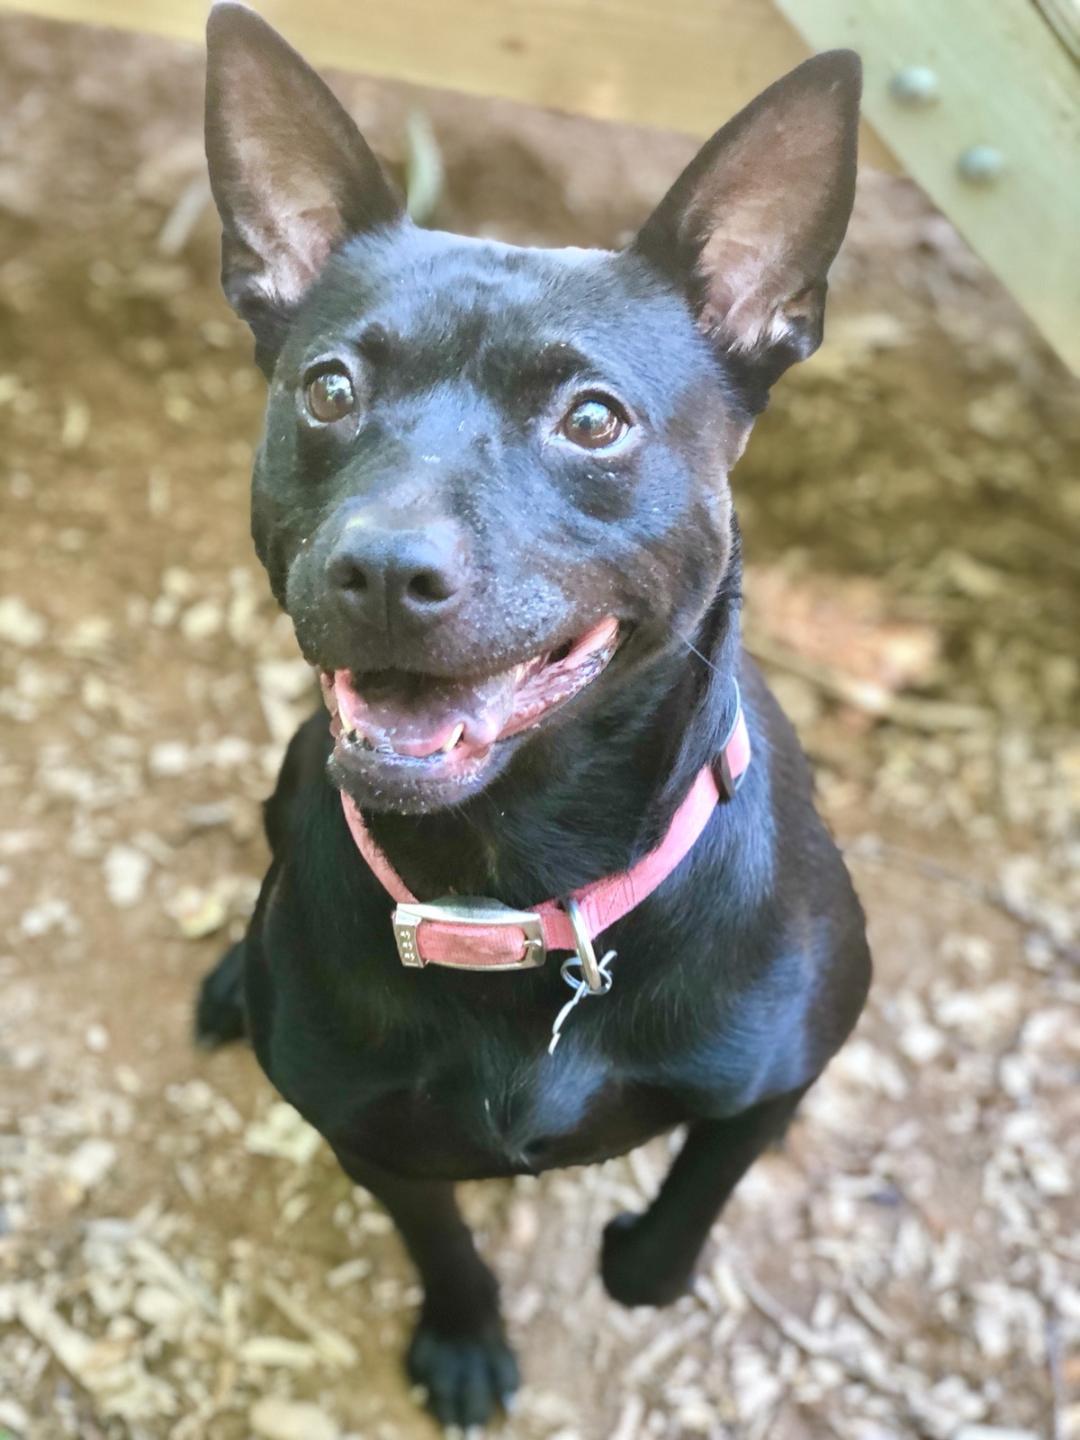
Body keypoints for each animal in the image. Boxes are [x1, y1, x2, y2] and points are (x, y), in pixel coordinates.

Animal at [197, 8, 869, 1428]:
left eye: (594, 418)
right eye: (328, 388)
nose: (385, 570)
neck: (517, 883)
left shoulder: (778, 1082)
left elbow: (691, 1206)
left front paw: (638, 1265)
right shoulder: (367, 1134)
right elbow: (441, 1238)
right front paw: (464, 1339)